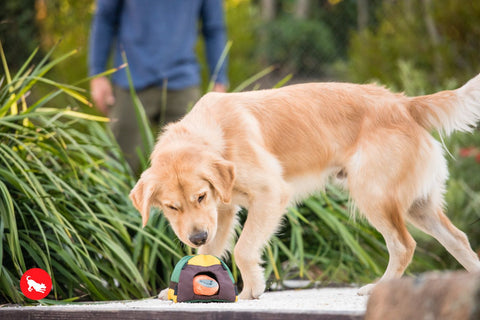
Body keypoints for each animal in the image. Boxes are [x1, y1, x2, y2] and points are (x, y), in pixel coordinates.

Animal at [129, 74, 480, 298]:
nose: (196, 236)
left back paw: (379, 287)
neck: (214, 133)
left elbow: (243, 249)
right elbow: (209, 254)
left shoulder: (270, 194)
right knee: (459, 239)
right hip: (418, 206)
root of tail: (404, 103)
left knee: (404, 245)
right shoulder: (223, 212)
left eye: (200, 196)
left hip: (374, 196)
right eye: (172, 207)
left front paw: (251, 290)